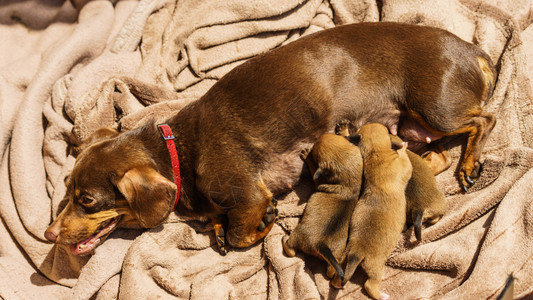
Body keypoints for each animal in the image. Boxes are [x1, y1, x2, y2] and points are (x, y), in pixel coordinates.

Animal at [44, 21, 494, 255]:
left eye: (87, 201)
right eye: (66, 192)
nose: (48, 235)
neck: (178, 152)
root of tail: (472, 50)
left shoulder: (247, 195)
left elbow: (242, 235)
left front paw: (264, 224)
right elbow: (220, 226)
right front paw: (216, 225)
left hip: (435, 109)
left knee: (484, 121)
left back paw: (471, 163)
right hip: (411, 128)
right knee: (437, 154)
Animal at [280, 134, 364, 284]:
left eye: (315, 154)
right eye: (340, 136)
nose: (357, 136)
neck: (349, 183)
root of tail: (320, 244)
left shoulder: (317, 179)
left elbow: (314, 169)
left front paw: (306, 154)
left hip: (297, 236)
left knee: (291, 250)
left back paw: (284, 240)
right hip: (336, 255)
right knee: (331, 270)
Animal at [332, 122, 412, 300]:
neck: (375, 152)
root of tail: (356, 252)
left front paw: (344, 130)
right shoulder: (403, 165)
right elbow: (405, 159)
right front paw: (403, 146)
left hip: (343, 260)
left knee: (337, 276)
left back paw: (338, 283)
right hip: (375, 267)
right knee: (369, 284)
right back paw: (381, 295)